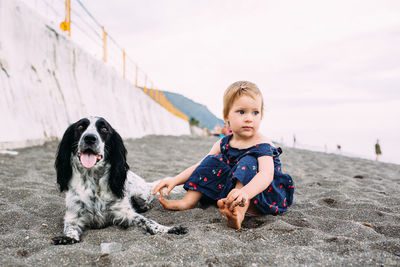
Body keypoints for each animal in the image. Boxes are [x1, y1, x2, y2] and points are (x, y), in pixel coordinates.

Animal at [52, 116, 188, 246]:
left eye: (104, 129)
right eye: (80, 127)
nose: (90, 138)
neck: (94, 181)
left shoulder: (125, 213)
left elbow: (148, 221)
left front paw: (169, 229)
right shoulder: (74, 216)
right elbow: (70, 228)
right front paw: (67, 238)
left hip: (142, 195)